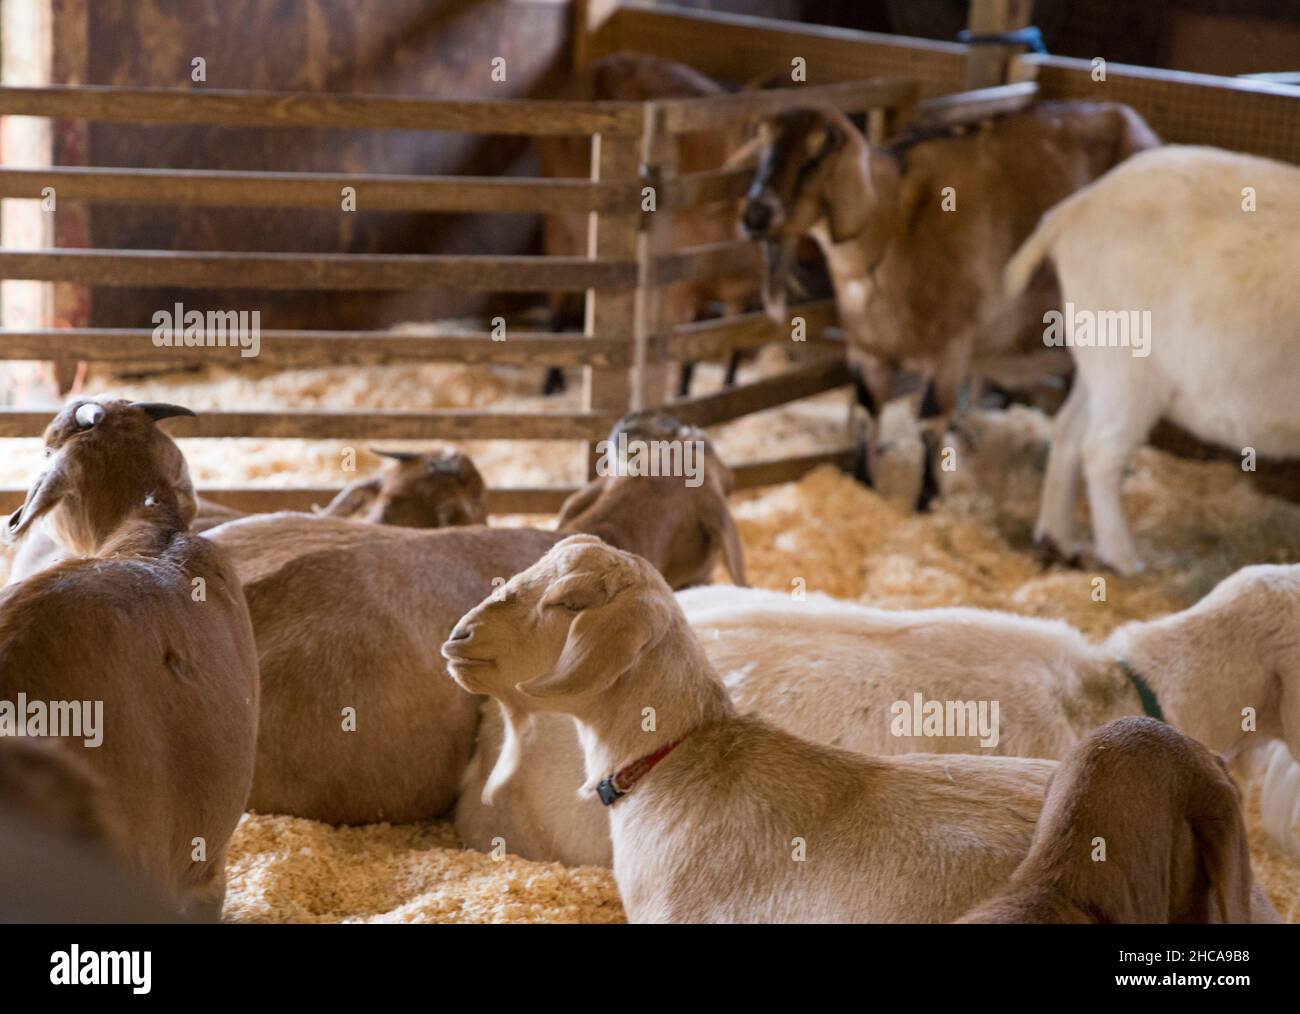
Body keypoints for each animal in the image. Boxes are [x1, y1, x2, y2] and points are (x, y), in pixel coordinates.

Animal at [743, 100, 1159, 504]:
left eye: (816, 152)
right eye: (763, 142)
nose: (755, 214)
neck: (894, 228)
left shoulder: (950, 346)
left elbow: (930, 421)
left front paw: (926, 500)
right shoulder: (867, 350)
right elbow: (865, 413)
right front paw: (863, 485)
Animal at [1003, 144, 1300, 569]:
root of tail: (1076, 207)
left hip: (1100, 359)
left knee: (1067, 431)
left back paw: (1059, 536)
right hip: (1129, 365)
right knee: (1101, 450)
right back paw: (1122, 558)